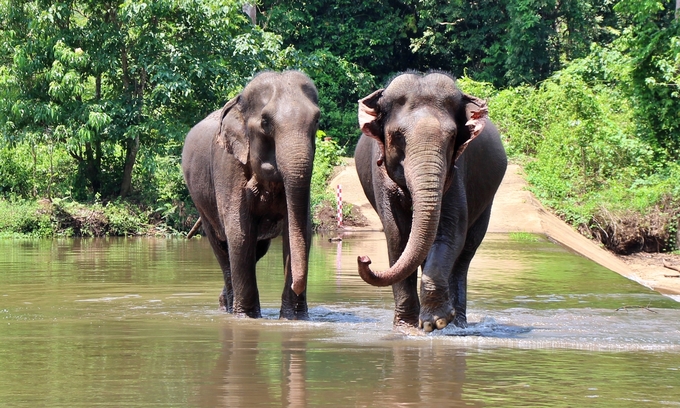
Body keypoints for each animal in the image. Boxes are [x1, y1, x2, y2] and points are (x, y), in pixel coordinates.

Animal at [181, 71, 318, 318]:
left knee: (256, 250)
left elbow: (298, 230)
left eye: (317, 120)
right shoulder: (227, 164)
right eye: (265, 122)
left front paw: (295, 319)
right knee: (222, 248)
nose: (297, 286)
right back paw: (228, 308)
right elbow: (239, 232)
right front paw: (247, 318)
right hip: (202, 203)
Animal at [354, 72, 508, 332]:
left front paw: (435, 322)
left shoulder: (456, 169)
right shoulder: (381, 175)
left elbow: (450, 231)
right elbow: (397, 235)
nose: (364, 259)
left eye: (453, 137)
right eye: (397, 136)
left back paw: (458, 325)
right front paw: (406, 327)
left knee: (466, 252)